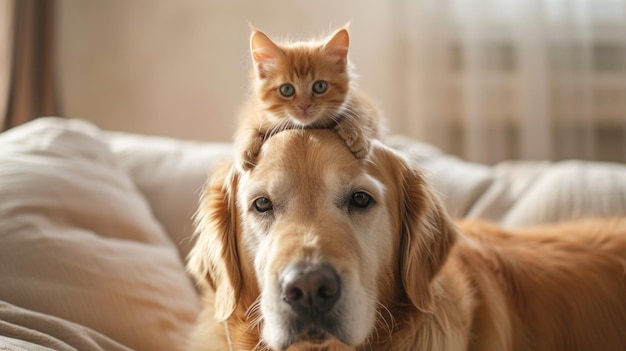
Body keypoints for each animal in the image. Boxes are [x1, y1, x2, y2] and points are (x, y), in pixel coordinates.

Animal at [234, 24, 380, 170]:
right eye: (287, 89)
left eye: (320, 86)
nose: (304, 105)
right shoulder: (255, 113)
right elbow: (247, 128)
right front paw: (245, 149)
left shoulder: (362, 105)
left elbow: (358, 114)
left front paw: (357, 134)